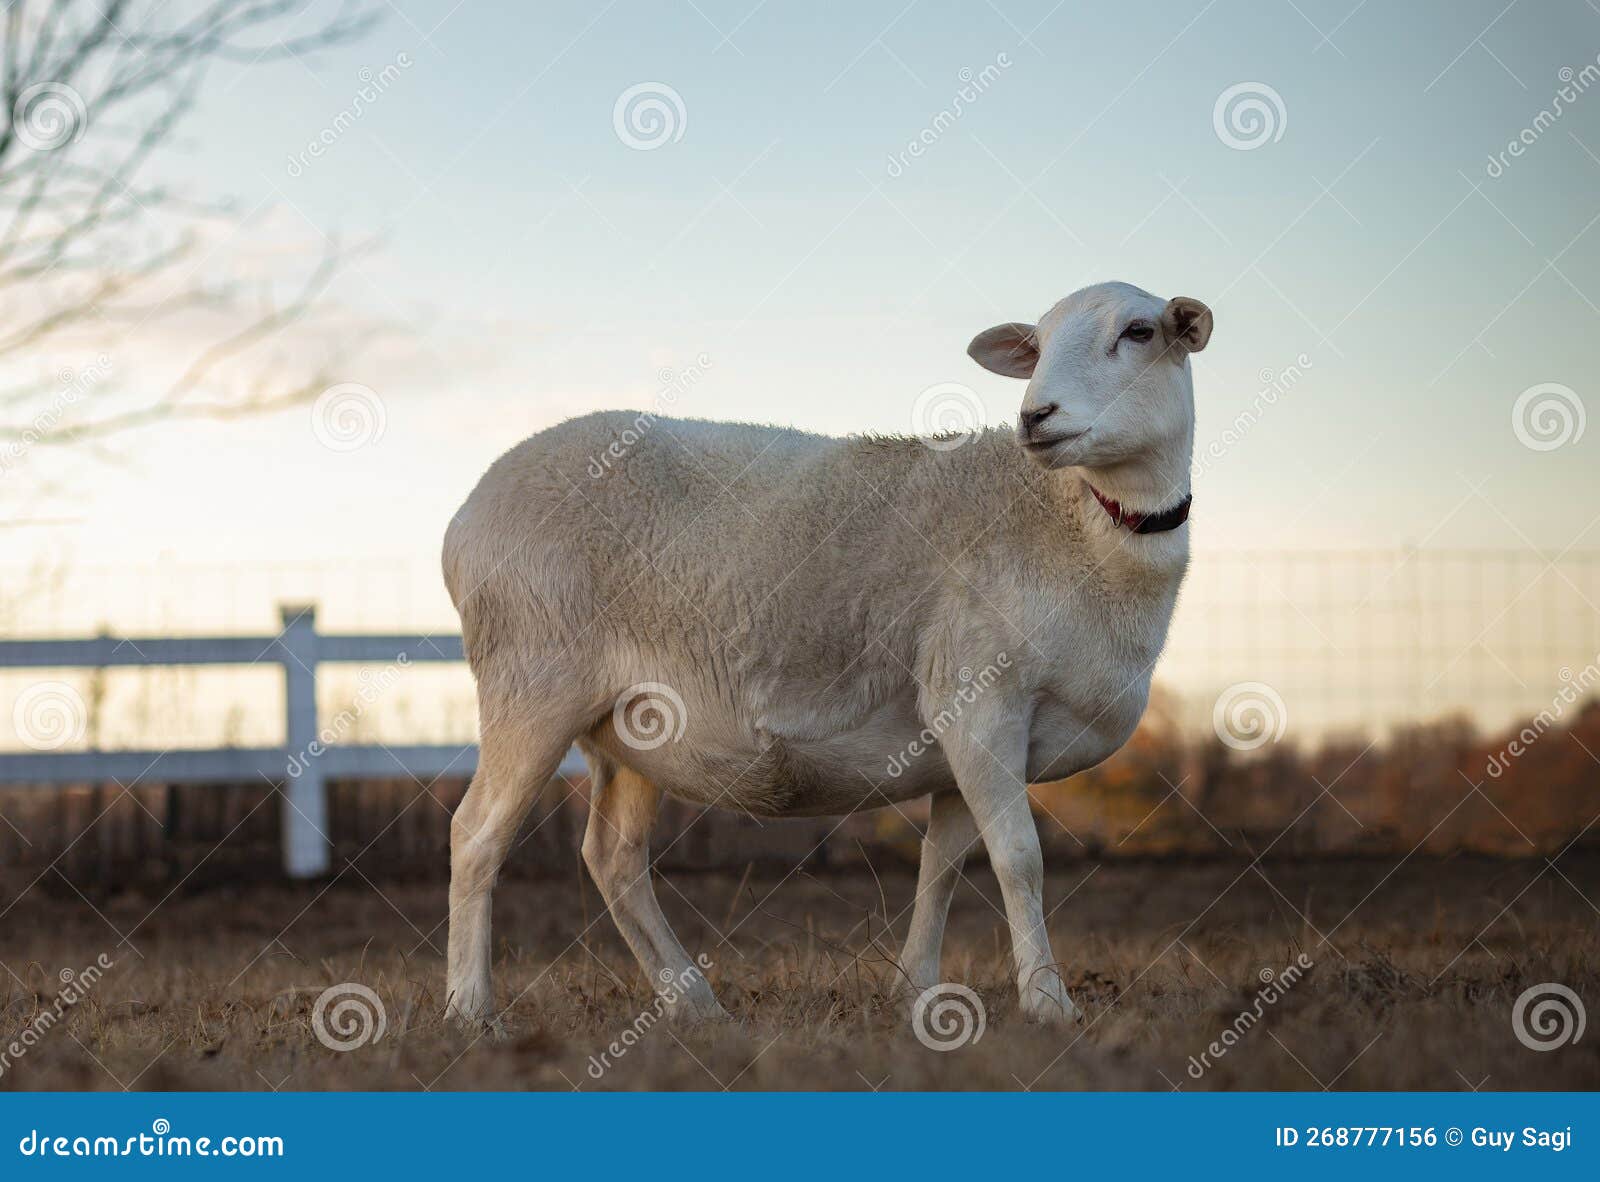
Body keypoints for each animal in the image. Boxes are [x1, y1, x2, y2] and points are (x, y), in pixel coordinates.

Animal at [441, 280, 1212, 1029]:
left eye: (1138, 332)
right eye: (1039, 346)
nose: (1036, 417)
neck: (1078, 522)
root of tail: (464, 518)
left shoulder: (972, 730)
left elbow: (943, 863)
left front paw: (916, 991)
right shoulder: (979, 694)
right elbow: (1019, 858)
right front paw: (1048, 1004)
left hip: (635, 728)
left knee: (613, 858)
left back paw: (695, 1004)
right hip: (531, 680)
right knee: (476, 836)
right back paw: (470, 1011)